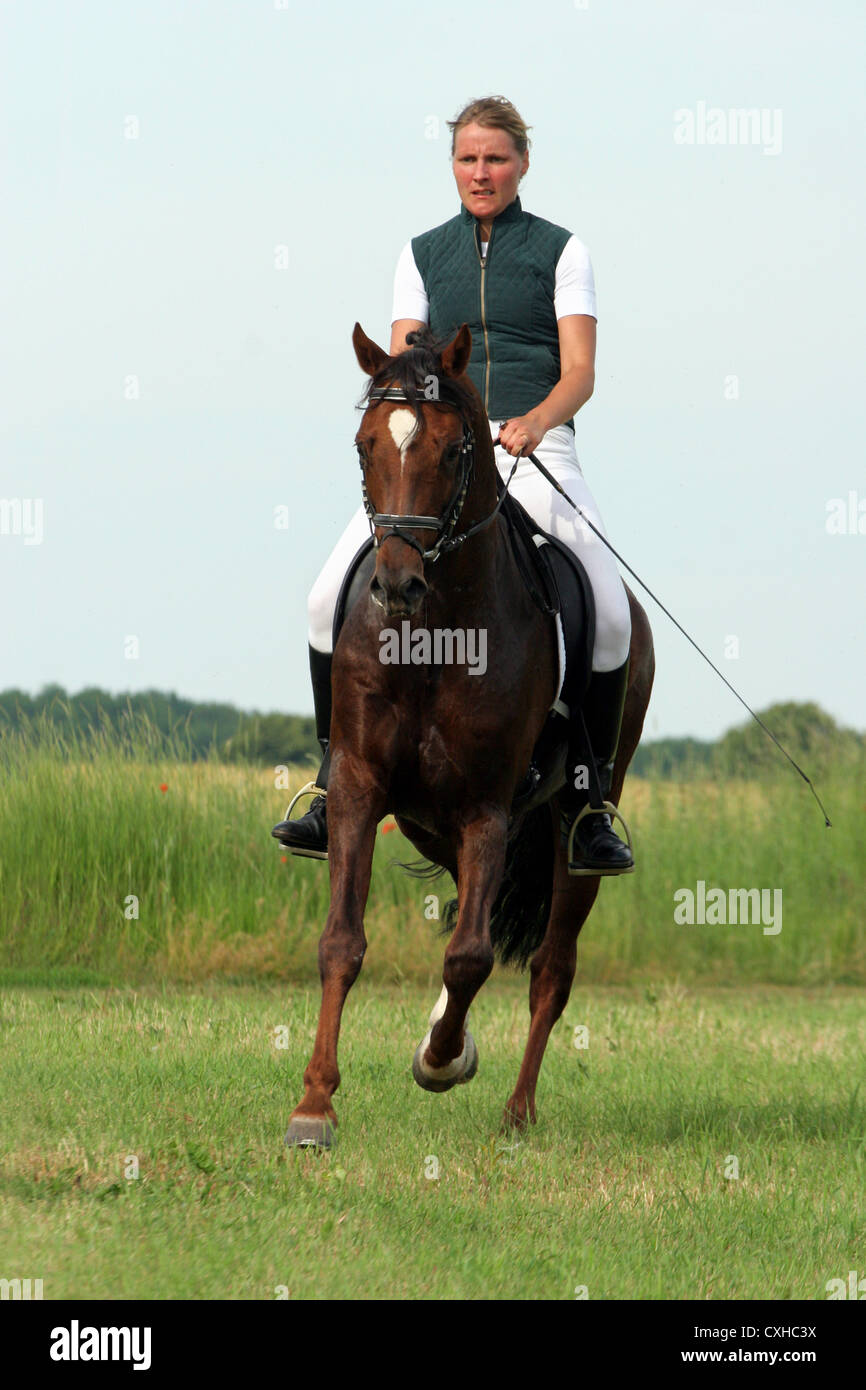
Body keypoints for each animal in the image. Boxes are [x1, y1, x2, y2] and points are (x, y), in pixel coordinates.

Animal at [284, 322, 654, 1147]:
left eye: (455, 451)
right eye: (364, 444)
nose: (396, 585)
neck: (435, 634)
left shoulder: (488, 806)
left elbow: (471, 957)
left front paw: (442, 1060)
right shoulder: (360, 786)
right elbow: (341, 941)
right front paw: (314, 1106)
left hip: (570, 821)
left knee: (551, 967)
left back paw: (517, 1109)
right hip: (428, 819)